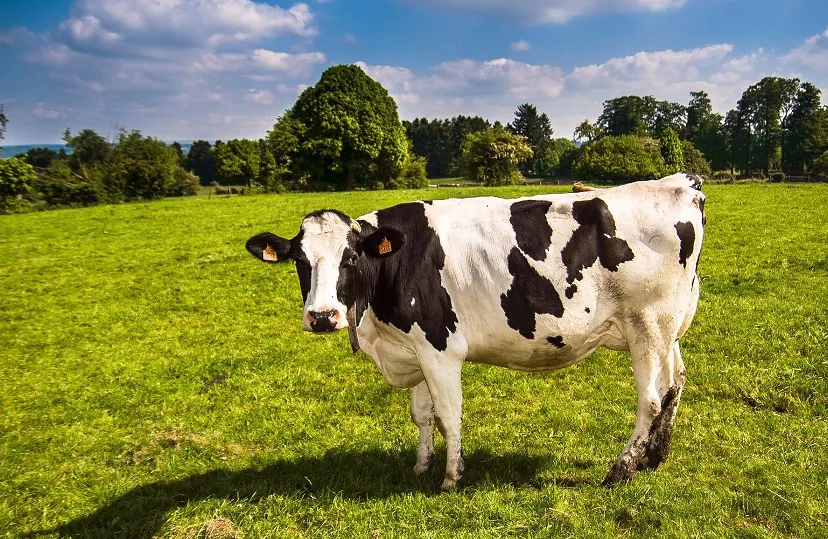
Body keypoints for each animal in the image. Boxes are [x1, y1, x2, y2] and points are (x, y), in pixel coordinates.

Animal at [245, 173, 706, 488]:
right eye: (300, 261)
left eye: (351, 258)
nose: (323, 316)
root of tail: (681, 183)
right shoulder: (414, 347)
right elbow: (422, 415)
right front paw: (421, 465)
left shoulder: (439, 348)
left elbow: (448, 414)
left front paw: (451, 476)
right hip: (667, 328)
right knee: (675, 382)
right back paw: (655, 456)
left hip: (647, 324)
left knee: (651, 399)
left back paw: (622, 469)